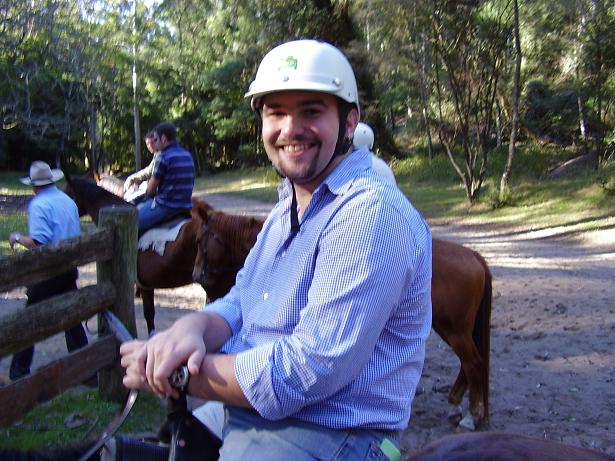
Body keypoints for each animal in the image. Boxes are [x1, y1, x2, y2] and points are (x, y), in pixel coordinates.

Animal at [190, 199, 492, 429]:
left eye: (201, 239)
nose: (196, 274)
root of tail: (474, 256)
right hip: (451, 329)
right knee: (469, 364)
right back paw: (457, 406)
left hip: (454, 330)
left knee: (474, 363)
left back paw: (472, 416)